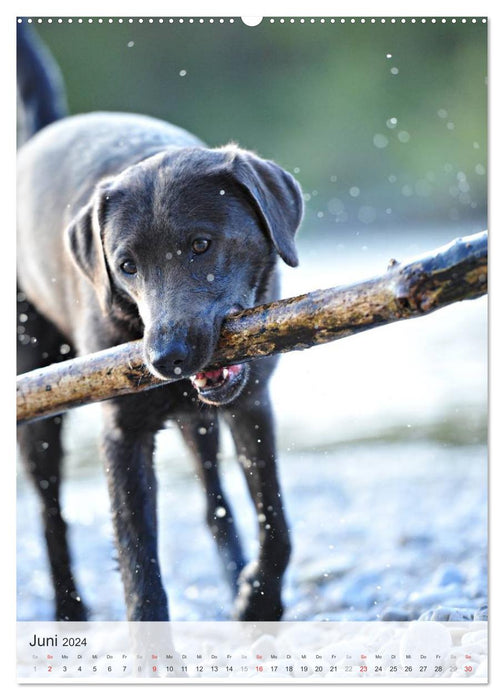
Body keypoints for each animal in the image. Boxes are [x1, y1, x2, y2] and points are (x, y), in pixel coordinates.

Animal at [16, 24, 304, 620]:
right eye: (126, 265)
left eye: (200, 245)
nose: (164, 358)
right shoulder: (122, 435)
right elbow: (139, 571)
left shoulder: (251, 403)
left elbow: (277, 524)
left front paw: (258, 600)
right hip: (37, 408)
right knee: (51, 514)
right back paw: (68, 607)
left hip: (198, 423)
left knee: (213, 499)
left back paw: (233, 575)